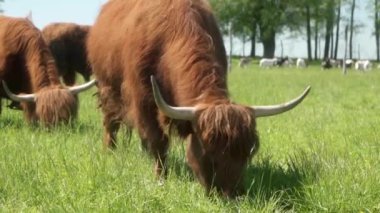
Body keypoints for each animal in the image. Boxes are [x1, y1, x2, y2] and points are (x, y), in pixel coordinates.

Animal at [89, 0, 312, 197]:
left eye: (248, 153)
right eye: (209, 153)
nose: (233, 195)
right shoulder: (143, 100)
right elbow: (158, 141)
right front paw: (160, 178)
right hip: (107, 87)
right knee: (111, 122)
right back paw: (110, 150)